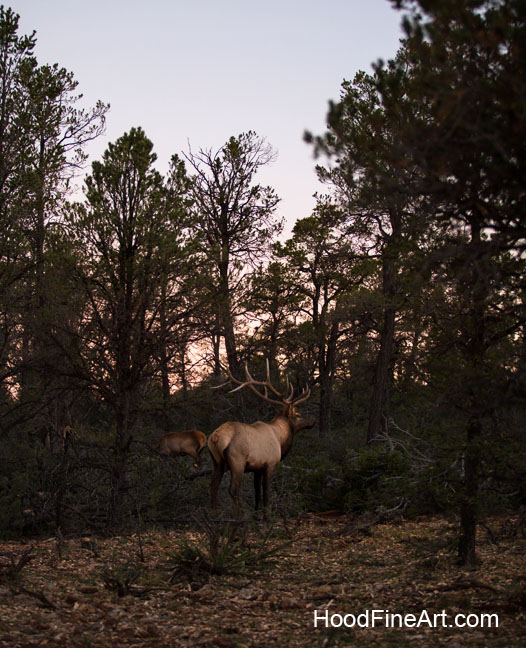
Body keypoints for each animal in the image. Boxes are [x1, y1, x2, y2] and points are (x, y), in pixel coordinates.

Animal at [208, 360, 314, 511]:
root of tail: (215, 437)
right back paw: (239, 514)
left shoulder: (257, 468)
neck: (281, 440)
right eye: (298, 415)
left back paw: (214, 512)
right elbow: (266, 493)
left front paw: (257, 512)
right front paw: (266, 514)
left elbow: (257, 493)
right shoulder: (270, 463)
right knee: (233, 490)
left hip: (216, 462)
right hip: (237, 461)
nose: (313, 421)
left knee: (213, 486)